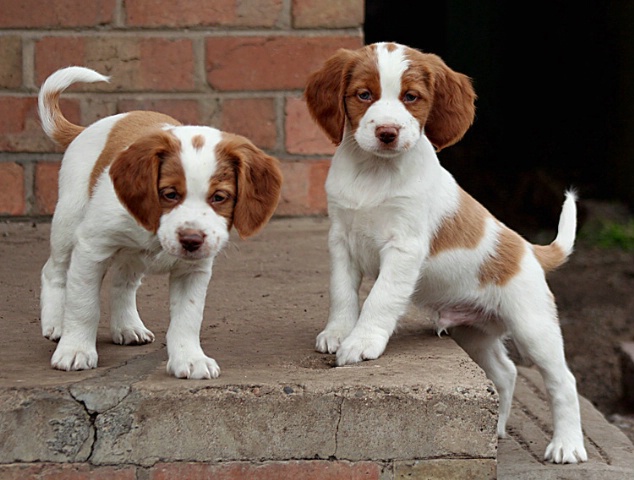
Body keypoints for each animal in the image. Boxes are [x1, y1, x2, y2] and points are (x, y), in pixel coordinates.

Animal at [35, 66, 280, 378]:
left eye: (220, 197)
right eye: (170, 194)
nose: (191, 240)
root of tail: (88, 129)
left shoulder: (193, 270)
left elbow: (187, 318)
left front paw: (190, 358)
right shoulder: (92, 248)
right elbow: (83, 305)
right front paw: (75, 350)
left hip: (130, 256)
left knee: (123, 283)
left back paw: (128, 326)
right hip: (68, 221)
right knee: (53, 271)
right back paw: (55, 323)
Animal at [304, 43, 584, 464]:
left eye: (411, 97)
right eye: (364, 95)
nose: (387, 133)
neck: (374, 173)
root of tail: (530, 251)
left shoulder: (404, 247)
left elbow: (380, 298)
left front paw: (361, 342)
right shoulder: (341, 240)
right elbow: (342, 293)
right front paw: (338, 333)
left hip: (533, 327)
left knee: (563, 381)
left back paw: (566, 445)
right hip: (474, 334)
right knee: (505, 373)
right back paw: (498, 429)